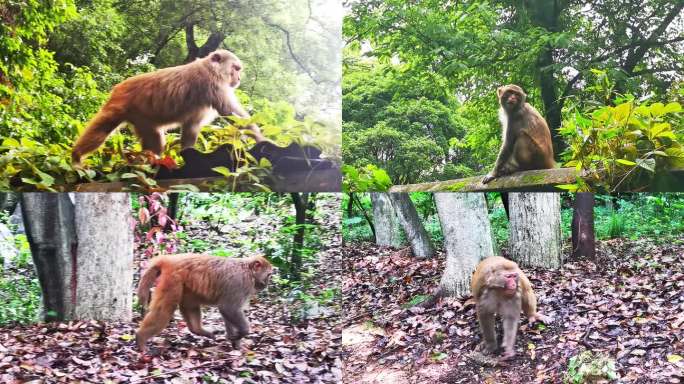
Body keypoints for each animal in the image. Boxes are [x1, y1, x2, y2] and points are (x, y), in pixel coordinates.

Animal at [72, 48, 264, 164]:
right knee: (101, 129)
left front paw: (186, 154)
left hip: (142, 119)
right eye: (236, 68)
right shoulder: (213, 83)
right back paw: (76, 156)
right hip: (118, 105)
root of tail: (119, 87)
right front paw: (262, 139)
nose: (238, 78)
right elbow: (230, 112)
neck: (211, 67)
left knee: (154, 138)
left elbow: (191, 126)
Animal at [135, 254, 274, 352]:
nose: (267, 284)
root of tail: (170, 260)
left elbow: (227, 311)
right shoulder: (240, 284)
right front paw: (242, 333)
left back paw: (198, 330)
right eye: (268, 275)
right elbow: (228, 308)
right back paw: (141, 338)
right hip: (173, 280)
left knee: (190, 304)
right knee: (165, 310)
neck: (247, 271)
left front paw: (235, 342)